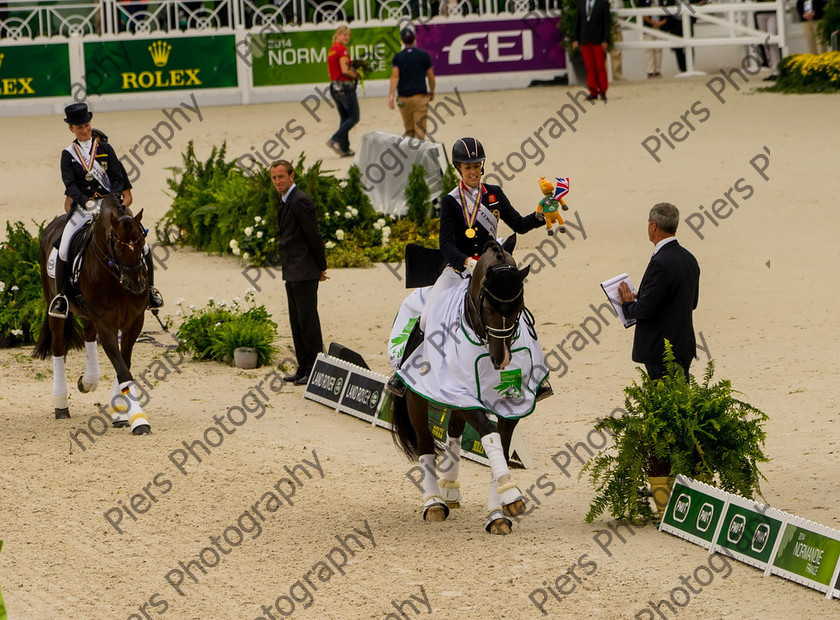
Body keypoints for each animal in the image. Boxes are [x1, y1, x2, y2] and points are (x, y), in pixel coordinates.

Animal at [34, 196, 153, 434]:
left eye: (141, 242)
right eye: (118, 245)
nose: (137, 284)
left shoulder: (135, 321)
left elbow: (124, 363)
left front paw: (120, 413)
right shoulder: (105, 323)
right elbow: (122, 370)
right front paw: (139, 420)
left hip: (89, 315)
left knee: (88, 337)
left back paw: (89, 380)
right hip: (55, 309)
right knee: (58, 347)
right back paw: (61, 404)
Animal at [392, 237, 548, 532]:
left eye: (519, 307)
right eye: (486, 308)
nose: (502, 359)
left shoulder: (511, 404)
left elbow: (500, 444)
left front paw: (498, 513)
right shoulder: (462, 394)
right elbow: (489, 434)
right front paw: (511, 494)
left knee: (453, 433)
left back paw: (450, 489)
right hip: (420, 396)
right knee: (424, 441)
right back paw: (433, 503)